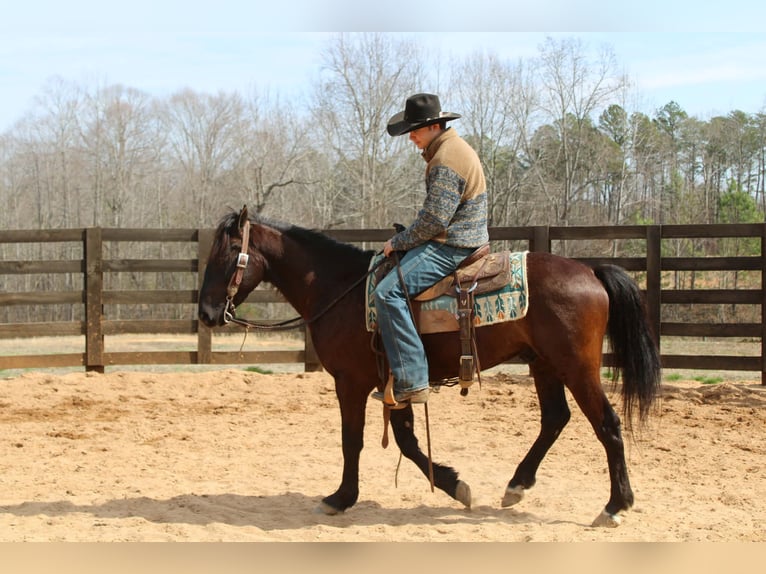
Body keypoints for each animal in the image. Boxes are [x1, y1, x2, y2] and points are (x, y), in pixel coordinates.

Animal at [197, 205, 662, 528]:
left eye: (227, 255)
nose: (205, 312)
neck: (339, 288)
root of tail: (591, 271)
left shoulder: (351, 382)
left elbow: (353, 441)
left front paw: (340, 498)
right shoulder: (395, 382)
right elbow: (406, 441)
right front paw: (455, 484)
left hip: (577, 368)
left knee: (607, 424)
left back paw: (615, 506)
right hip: (544, 365)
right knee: (555, 419)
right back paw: (516, 486)